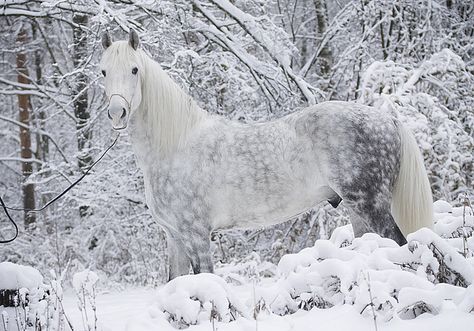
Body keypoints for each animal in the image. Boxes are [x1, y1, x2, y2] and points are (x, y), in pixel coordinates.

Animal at [99, 30, 434, 280]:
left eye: (134, 69)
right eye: (103, 71)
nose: (117, 113)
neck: (175, 145)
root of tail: (387, 119)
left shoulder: (196, 235)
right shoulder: (175, 238)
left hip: (373, 207)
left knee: (403, 247)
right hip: (358, 211)